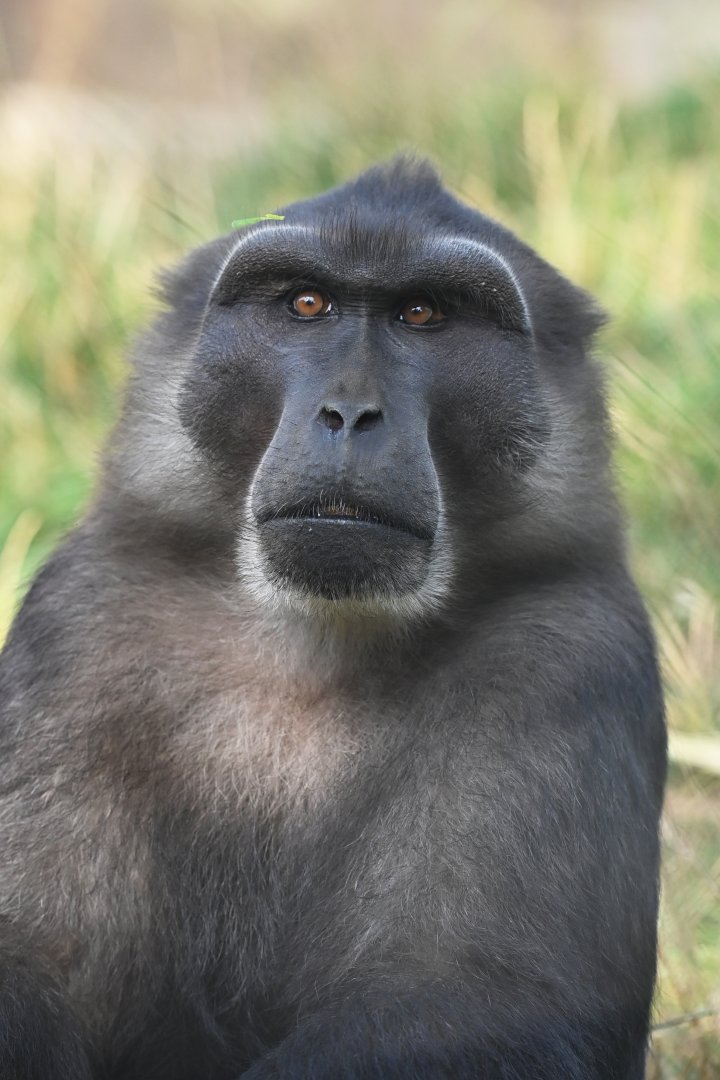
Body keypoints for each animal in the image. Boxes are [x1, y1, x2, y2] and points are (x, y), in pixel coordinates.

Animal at [0, 158, 666, 1079]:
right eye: (305, 304)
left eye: (424, 314)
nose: (349, 414)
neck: (317, 644)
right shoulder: (86, 618)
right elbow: (31, 963)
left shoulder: (568, 655)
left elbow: (484, 1006)